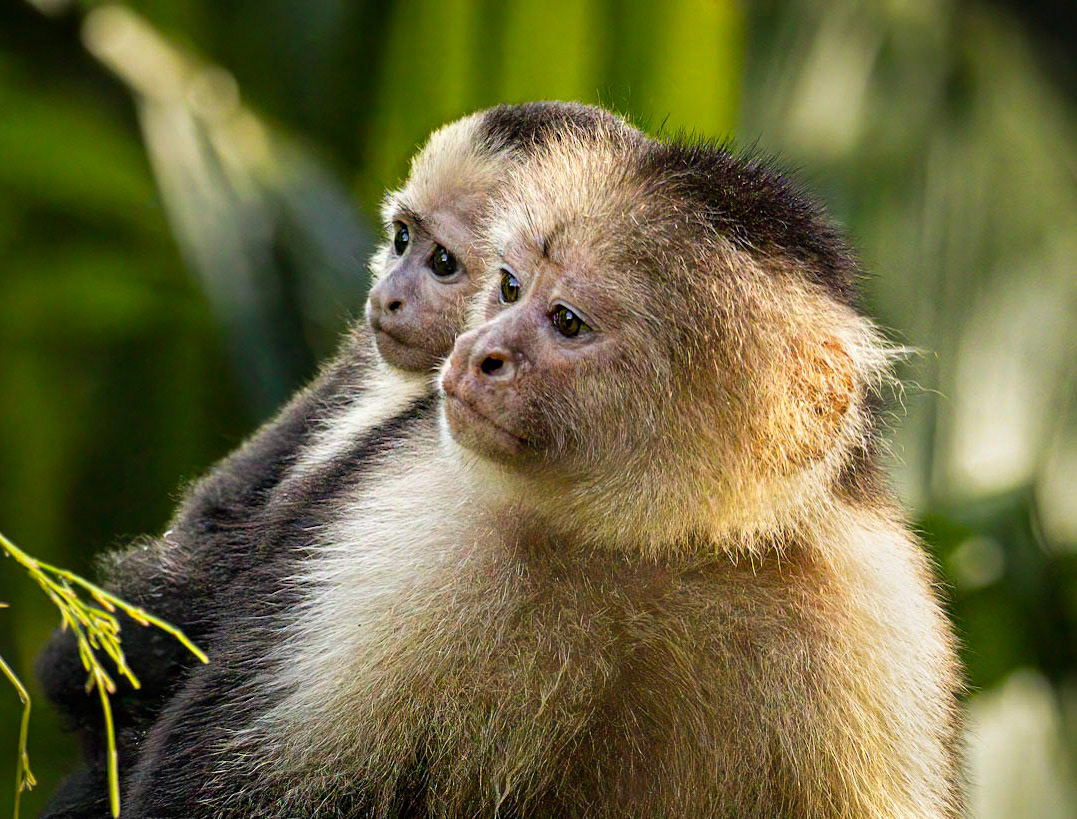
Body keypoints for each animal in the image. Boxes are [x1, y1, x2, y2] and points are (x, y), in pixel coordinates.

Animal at [111, 112, 963, 819]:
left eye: (567, 321)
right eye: (510, 287)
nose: (474, 353)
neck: (653, 544)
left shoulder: (868, 611)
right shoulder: (414, 528)